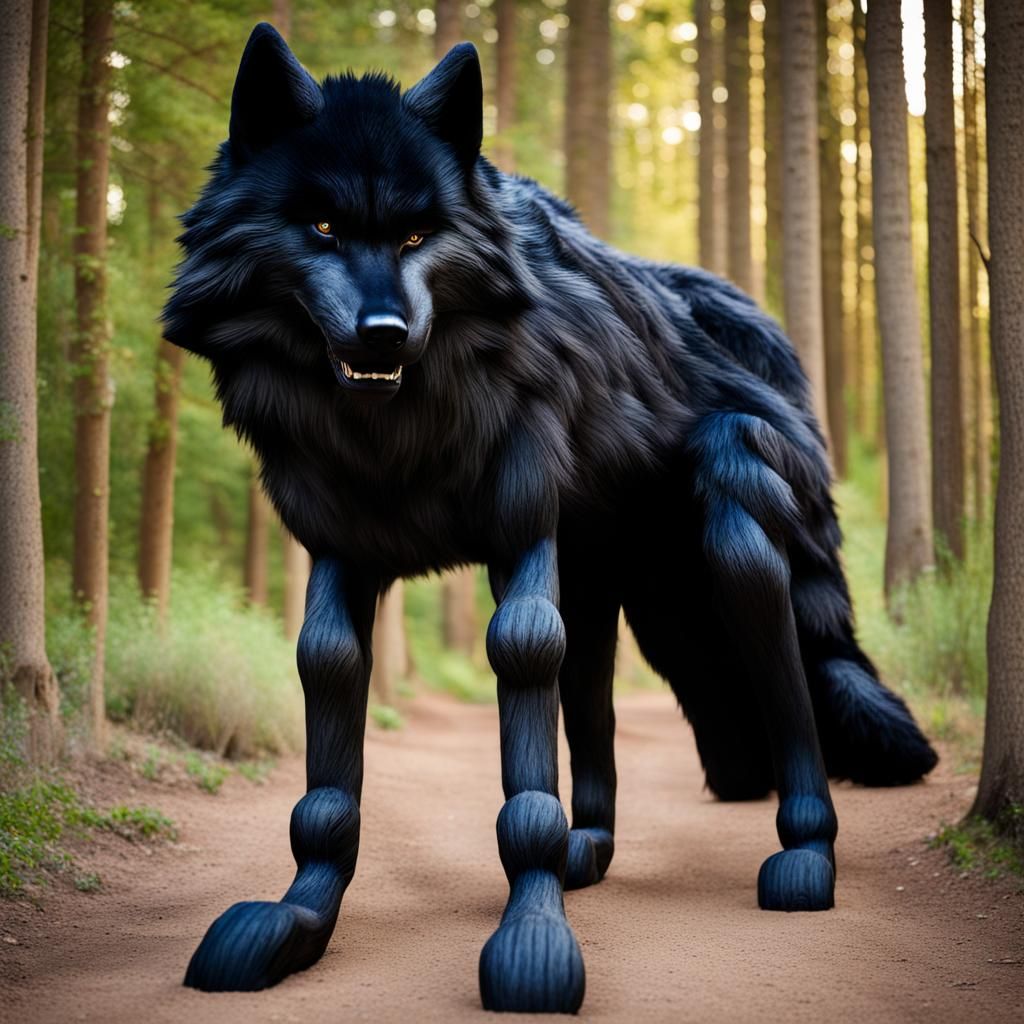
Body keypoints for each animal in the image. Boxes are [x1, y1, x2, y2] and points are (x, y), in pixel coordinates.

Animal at [164, 24, 937, 1014]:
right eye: (323, 228)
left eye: (418, 234)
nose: (384, 333)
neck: (397, 432)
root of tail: (769, 332)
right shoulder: (343, 557)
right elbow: (329, 761)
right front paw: (295, 918)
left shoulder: (518, 541)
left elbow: (525, 745)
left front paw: (532, 941)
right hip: (612, 576)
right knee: (599, 709)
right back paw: (587, 852)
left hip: (732, 525)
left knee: (790, 680)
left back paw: (804, 858)